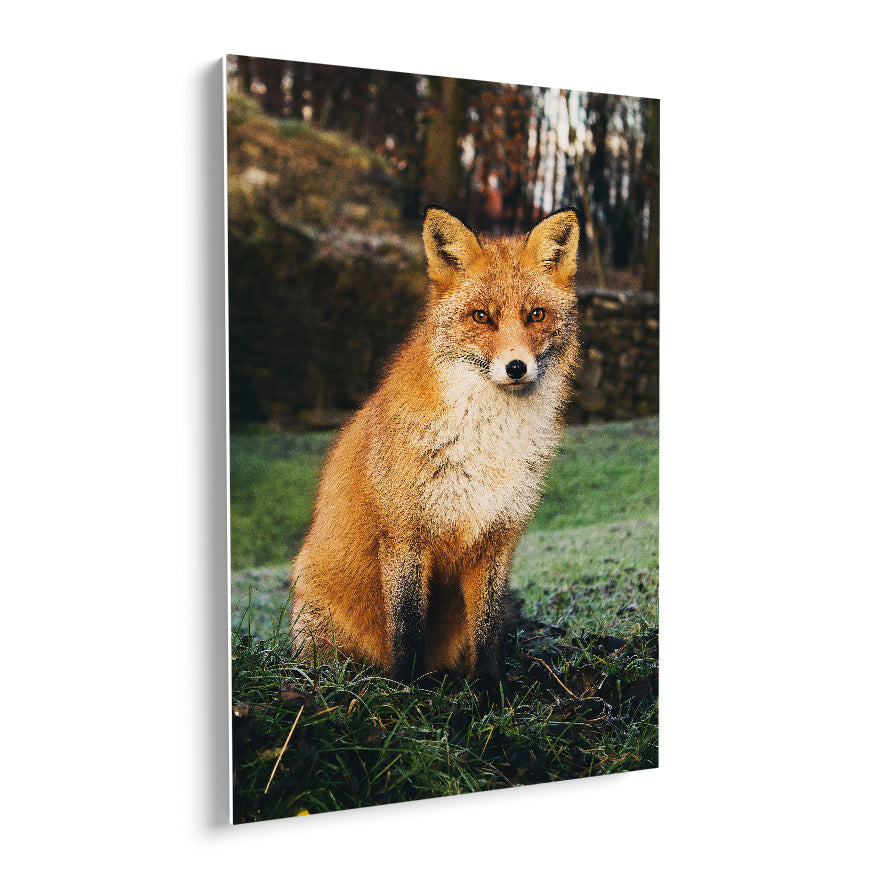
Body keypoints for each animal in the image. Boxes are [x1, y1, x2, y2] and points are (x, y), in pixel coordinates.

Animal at [290, 206, 580, 692]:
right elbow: (408, 628)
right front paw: (407, 691)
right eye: (481, 317)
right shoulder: (406, 534)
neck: (489, 445)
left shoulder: (496, 539)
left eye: (536, 315)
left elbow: (488, 631)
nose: (516, 367)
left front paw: (490, 692)